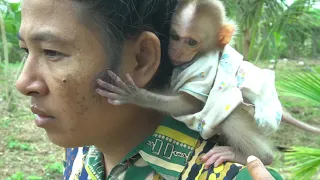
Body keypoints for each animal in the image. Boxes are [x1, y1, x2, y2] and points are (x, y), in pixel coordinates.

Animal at [95, 0, 320, 169]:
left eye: (191, 42)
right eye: (175, 36)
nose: (176, 51)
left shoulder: (204, 68)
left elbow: (190, 104)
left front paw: (135, 95)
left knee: (229, 114)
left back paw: (260, 156)